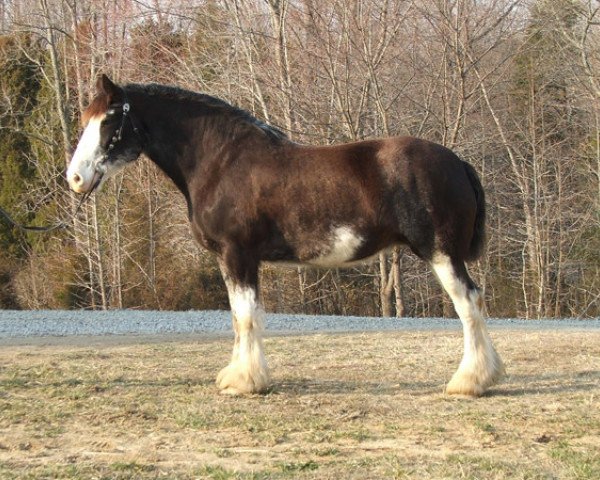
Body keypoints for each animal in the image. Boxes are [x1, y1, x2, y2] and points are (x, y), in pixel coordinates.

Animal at [67, 75, 506, 398]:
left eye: (109, 120)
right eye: (87, 120)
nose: (75, 178)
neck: (220, 161)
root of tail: (457, 162)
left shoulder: (237, 255)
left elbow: (247, 316)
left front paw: (245, 382)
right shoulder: (230, 260)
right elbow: (237, 316)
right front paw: (237, 374)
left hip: (441, 254)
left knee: (469, 303)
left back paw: (469, 382)